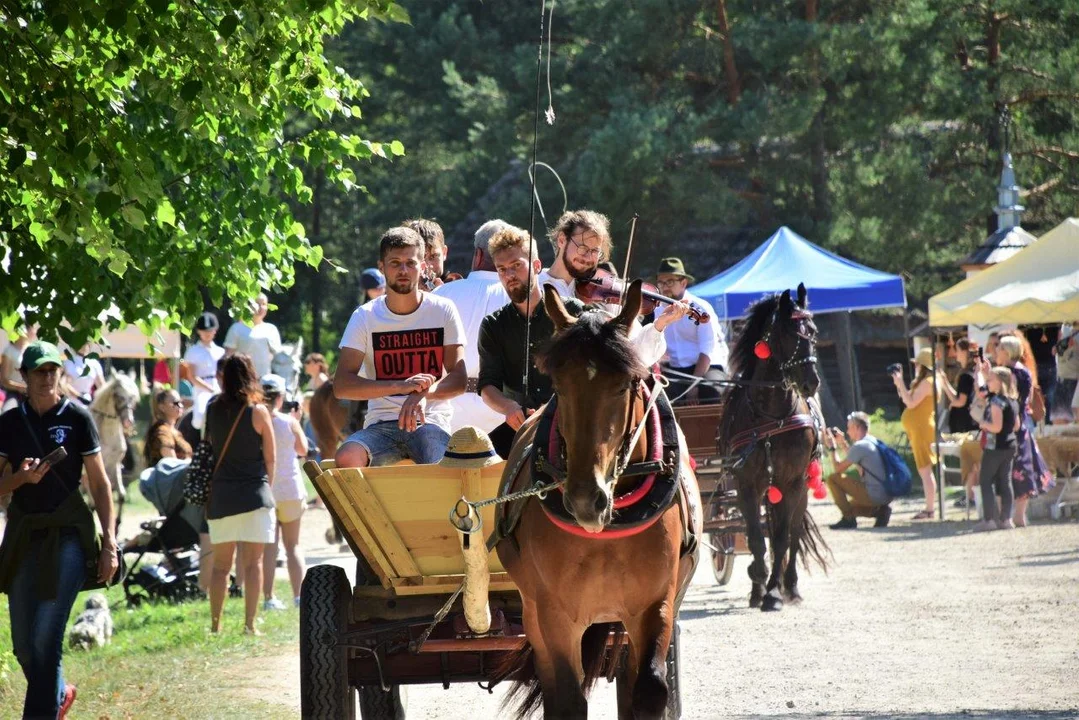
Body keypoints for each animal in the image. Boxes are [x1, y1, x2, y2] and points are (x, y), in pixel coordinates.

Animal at [496, 282, 699, 720]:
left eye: (625, 385)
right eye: (558, 387)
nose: (586, 501)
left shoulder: (655, 604)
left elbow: (650, 690)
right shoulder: (555, 615)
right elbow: (568, 700)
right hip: (534, 612)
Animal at [720, 284, 828, 613]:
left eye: (813, 332)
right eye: (787, 334)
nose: (811, 383)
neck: (771, 415)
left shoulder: (792, 482)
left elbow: (781, 539)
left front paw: (774, 593)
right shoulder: (746, 484)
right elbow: (755, 538)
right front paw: (759, 583)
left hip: (800, 487)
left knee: (792, 532)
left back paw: (789, 586)